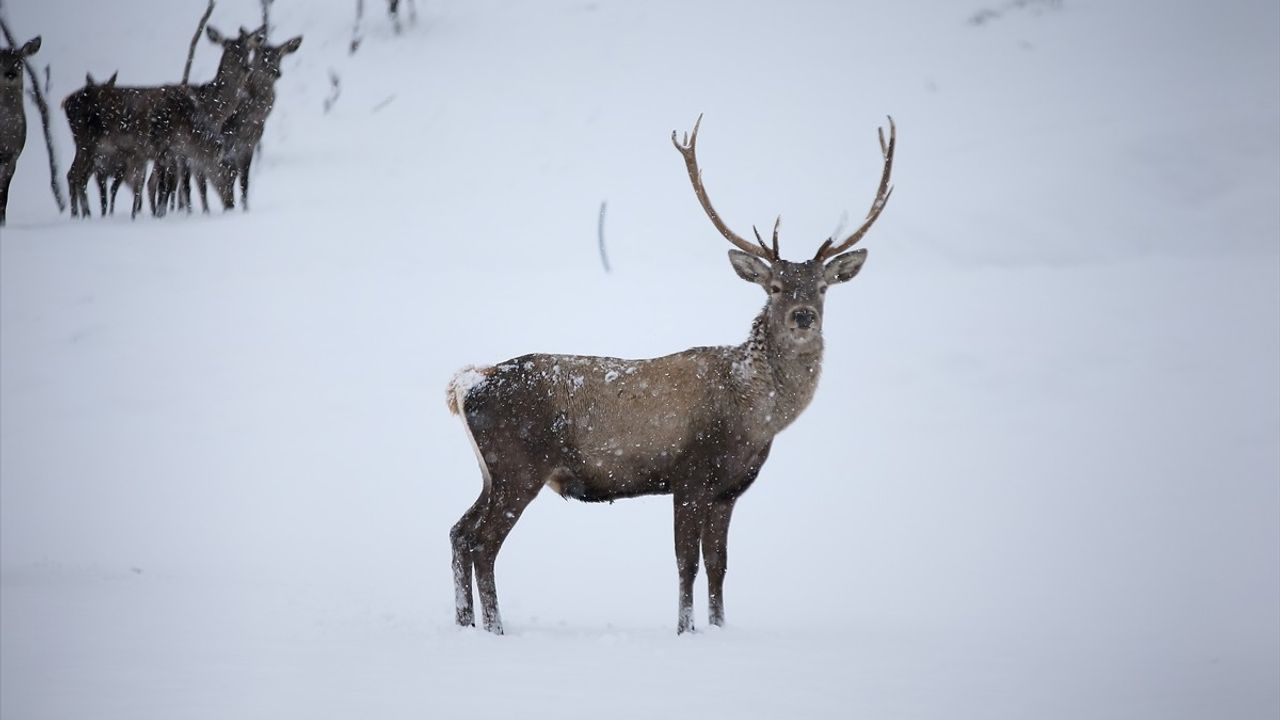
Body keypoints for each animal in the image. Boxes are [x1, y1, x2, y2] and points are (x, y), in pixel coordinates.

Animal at [450, 114, 901, 630]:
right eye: (774, 286)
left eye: (823, 286)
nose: (802, 315)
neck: (756, 415)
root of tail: (465, 384)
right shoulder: (690, 476)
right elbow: (687, 563)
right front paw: (685, 630)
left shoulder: (730, 489)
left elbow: (719, 565)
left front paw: (719, 627)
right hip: (518, 466)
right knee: (483, 543)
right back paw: (495, 629)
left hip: (492, 472)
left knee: (459, 532)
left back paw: (466, 623)